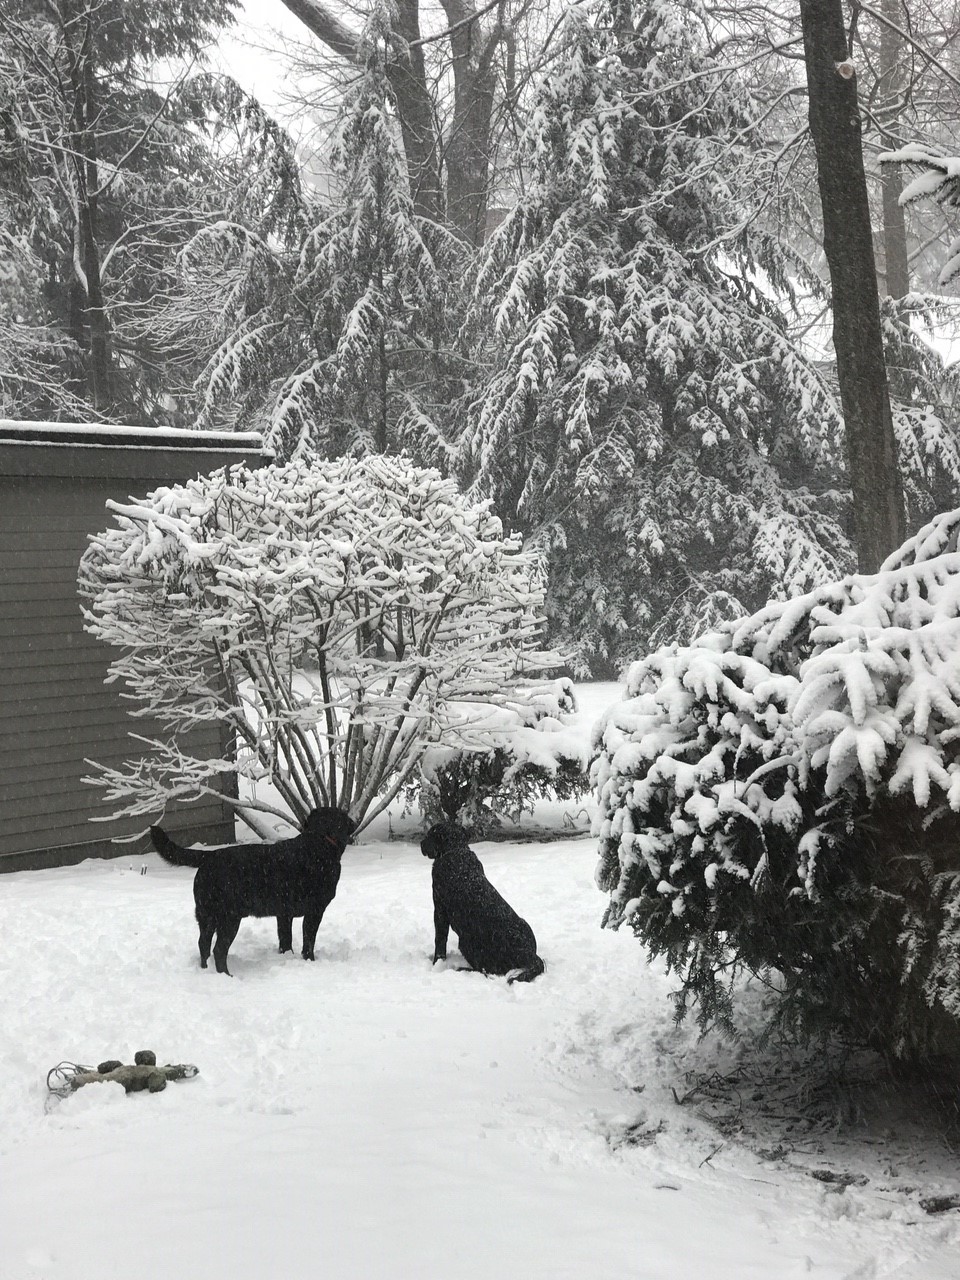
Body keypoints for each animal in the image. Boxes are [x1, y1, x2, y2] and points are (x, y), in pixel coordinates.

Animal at [152, 803, 355, 972]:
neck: (320, 840)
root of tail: (210, 855)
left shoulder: (284, 914)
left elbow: (285, 939)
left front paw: (286, 957)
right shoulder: (315, 910)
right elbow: (309, 941)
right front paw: (310, 961)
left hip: (207, 916)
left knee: (203, 944)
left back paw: (205, 971)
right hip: (229, 917)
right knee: (219, 950)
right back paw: (226, 976)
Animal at [422, 819, 547, 977]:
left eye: (429, 834)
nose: (421, 843)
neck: (456, 850)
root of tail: (528, 954)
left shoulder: (439, 910)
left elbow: (440, 940)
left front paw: (437, 964)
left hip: (466, 940)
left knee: (487, 970)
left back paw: (462, 969)